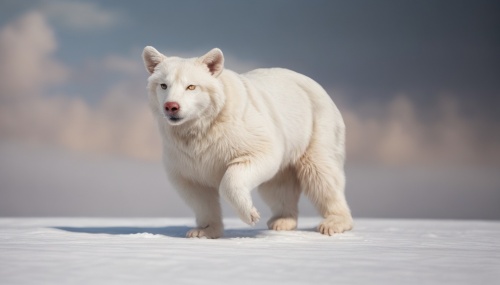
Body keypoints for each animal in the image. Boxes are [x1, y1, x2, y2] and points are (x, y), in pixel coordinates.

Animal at [143, 46, 354, 237]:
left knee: (322, 174)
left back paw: (333, 223)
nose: (171, 106)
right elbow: (196, 191)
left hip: (315, 125)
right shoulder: (182, 155)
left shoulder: (240, 130)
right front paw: (203, 231)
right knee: (277, 187)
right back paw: (282, 220)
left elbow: (255, 156)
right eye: (163, 85)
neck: (202, 127)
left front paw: (251, 215)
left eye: (191, 86)